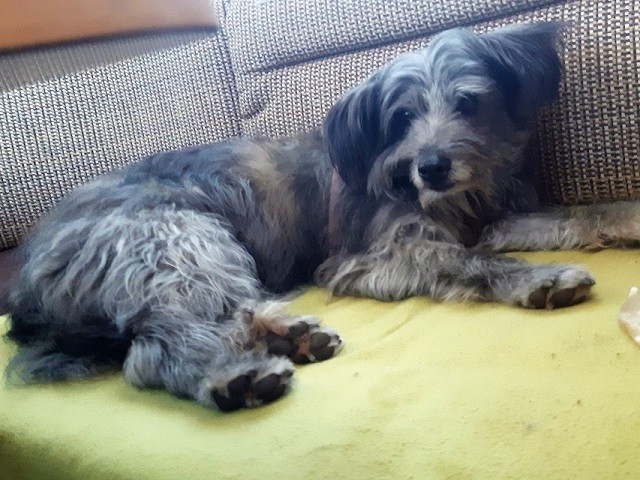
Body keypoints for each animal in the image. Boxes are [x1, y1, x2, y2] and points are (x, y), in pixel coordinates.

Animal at [6, 22, 637, 411]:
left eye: (468, 102)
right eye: (402, 116)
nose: (431, 166)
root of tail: (26, 286)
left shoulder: (495, 219)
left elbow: (574, 215)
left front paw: (625, 217)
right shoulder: (380, 254)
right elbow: (473, 261)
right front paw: (540, 278)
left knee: (231, 313)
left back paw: (293, 336)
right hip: (178, 240)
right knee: (157, 344)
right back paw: (235, 376)